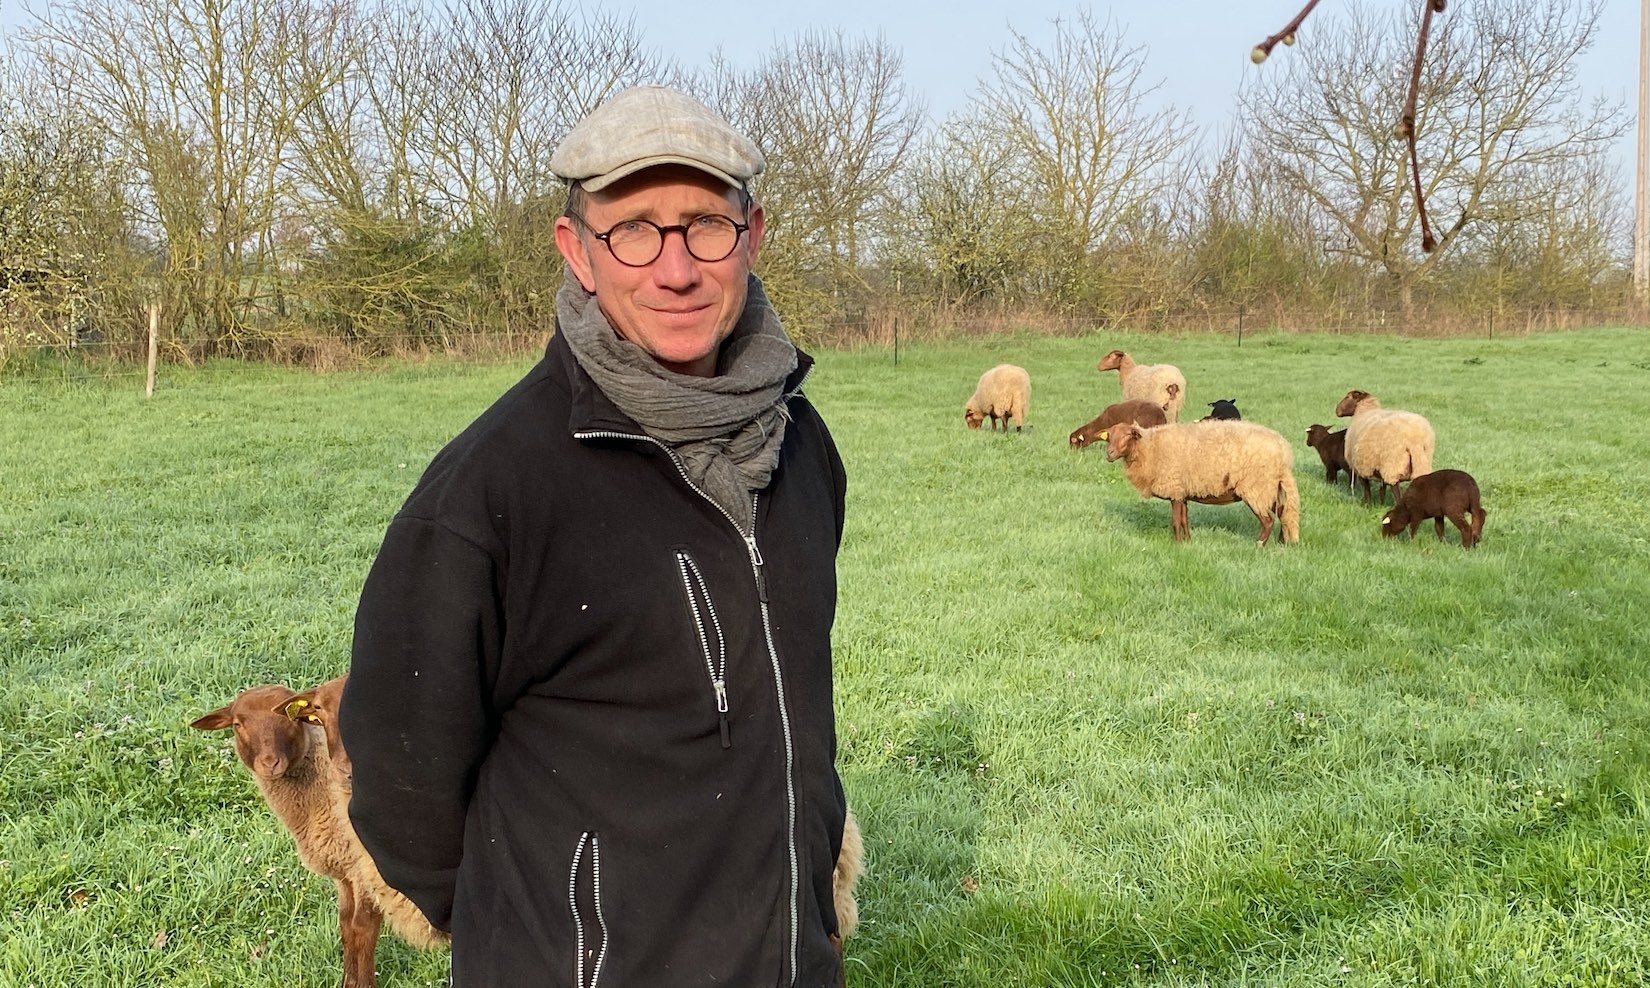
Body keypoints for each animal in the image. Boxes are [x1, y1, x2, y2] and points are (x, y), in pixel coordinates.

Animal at [1108, 418, 1300, 547]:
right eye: (1108, 436)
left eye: (1127, 435)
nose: (1108, 453)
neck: (1149, 449)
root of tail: (1284, 452)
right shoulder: (1182, 492)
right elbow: (1184, 520)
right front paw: (1187, 541)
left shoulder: (1174, 489)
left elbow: (1176, 521)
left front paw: (1177, 545)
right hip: (1270, 488)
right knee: (1283, 514)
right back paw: (1281, 542)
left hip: (1256, 488)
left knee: (1268, 520)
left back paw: (1259, 545)